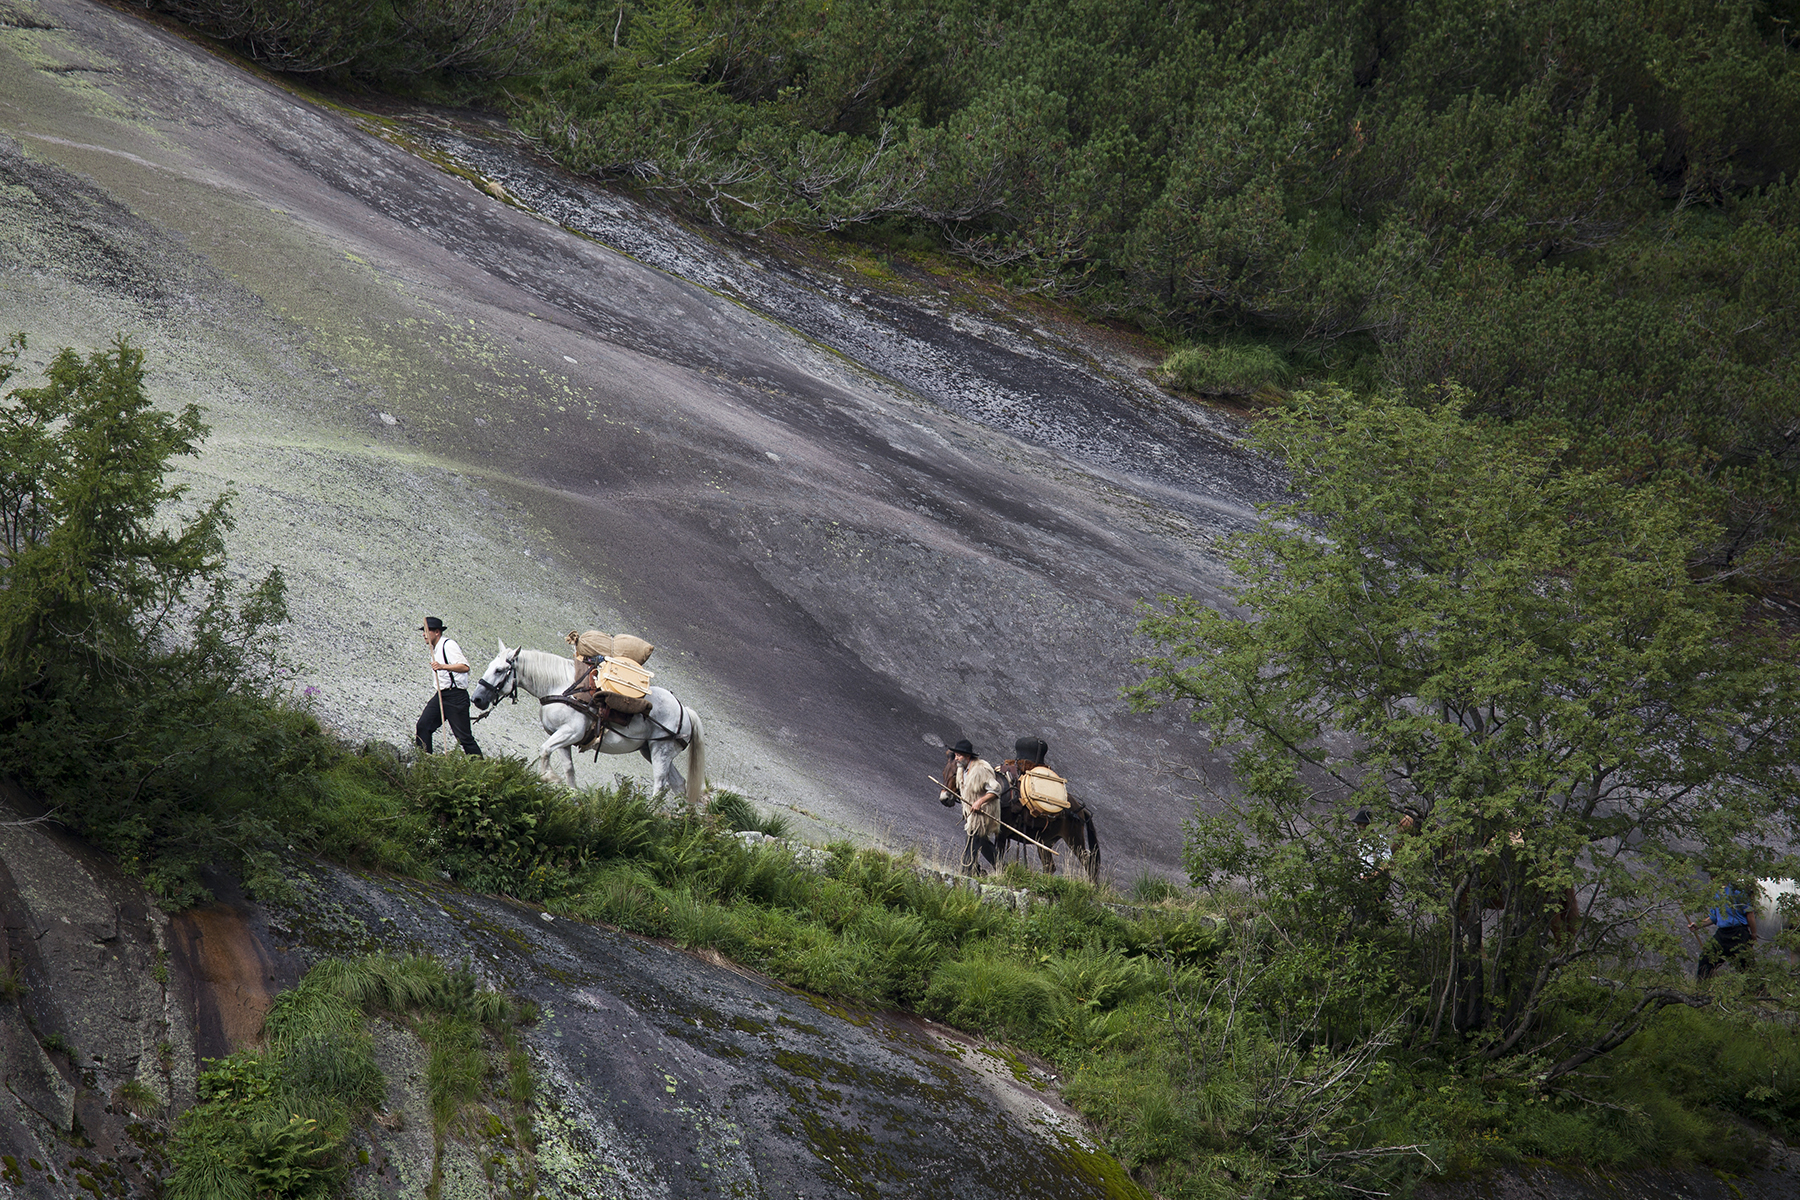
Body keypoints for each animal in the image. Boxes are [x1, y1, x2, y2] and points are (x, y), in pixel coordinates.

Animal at [471, 644, 702, 802]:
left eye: (499, 670)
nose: (477, 699)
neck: (561, 688)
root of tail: (684, 709)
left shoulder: (569, 732)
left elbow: (544, 750)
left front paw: (549, 777)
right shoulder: (562, 738)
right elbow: (568, 768)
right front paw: (571, 792)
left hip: (660, 751)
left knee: (660, 785)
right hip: (652, 751)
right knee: (678, 784)